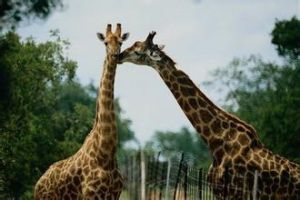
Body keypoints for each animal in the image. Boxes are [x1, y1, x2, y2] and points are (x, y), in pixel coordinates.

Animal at [34, 23, 129, 198]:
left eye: (120, 42)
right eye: (105, 43)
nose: (114, 56)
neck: (105, 156)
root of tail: (37, 185)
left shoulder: (114, 194)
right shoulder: (90, 195)